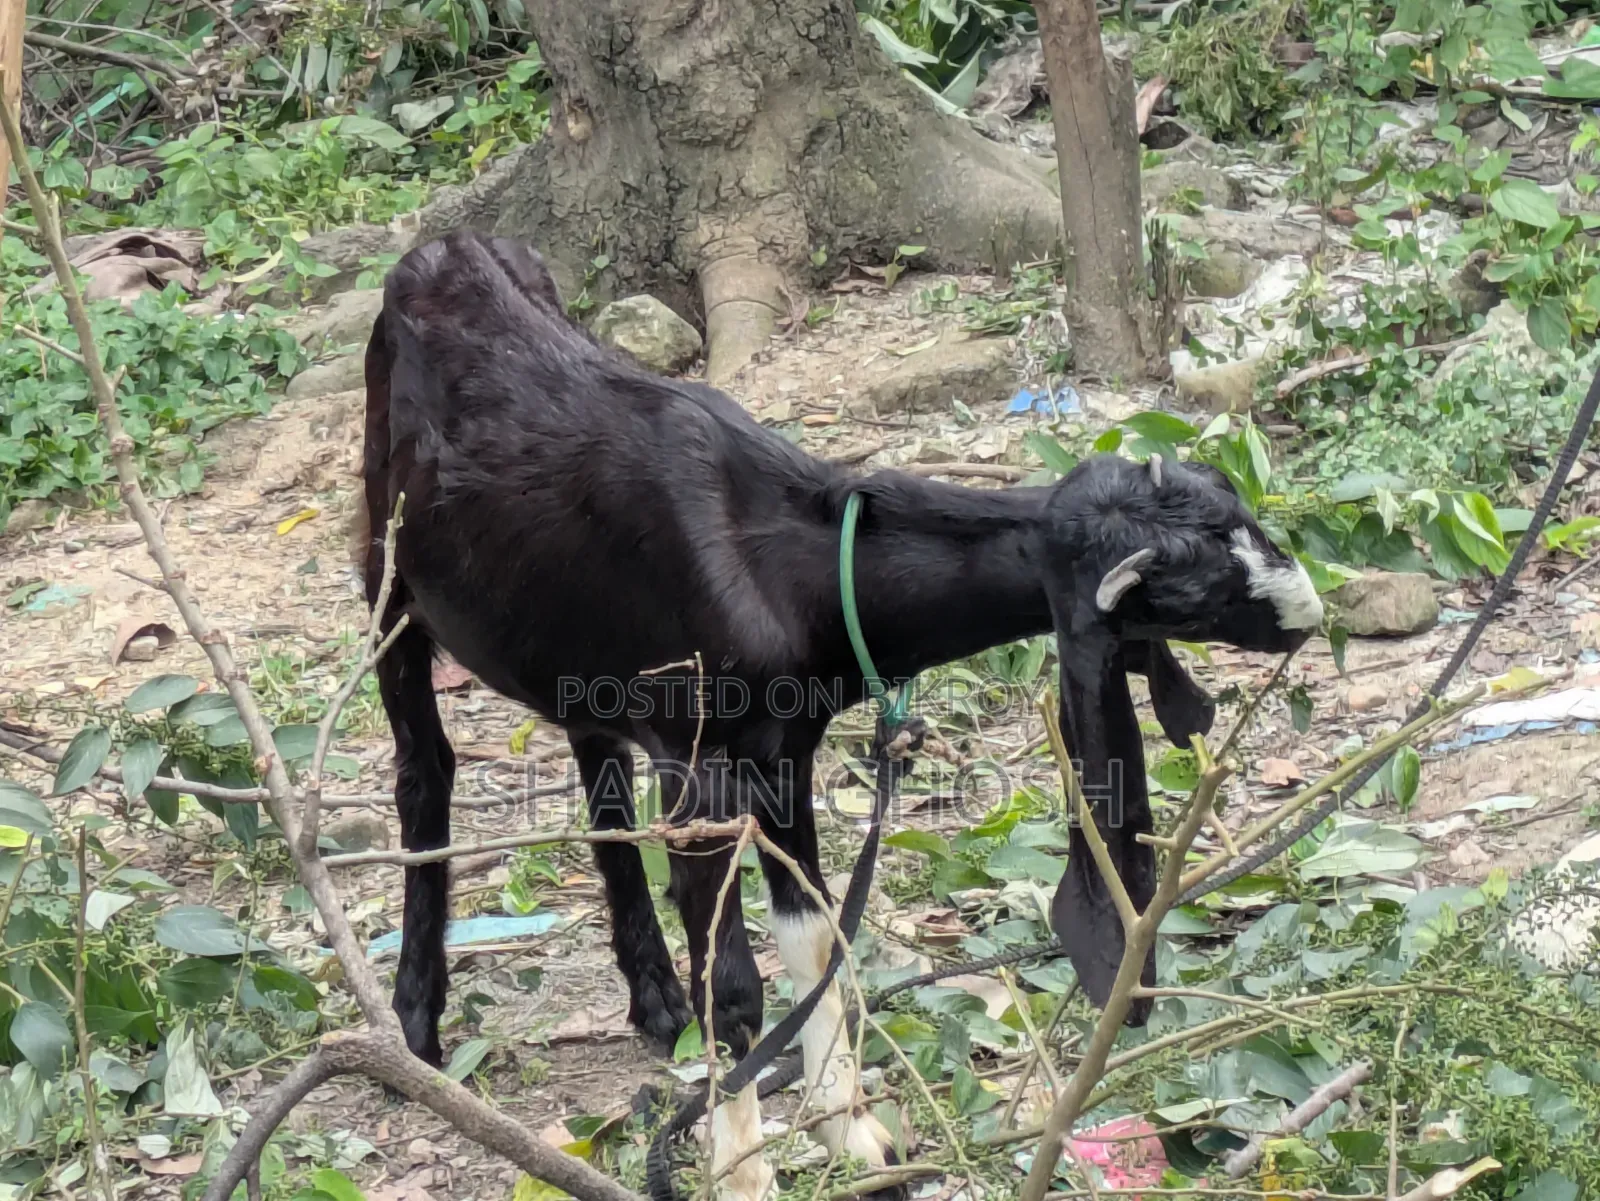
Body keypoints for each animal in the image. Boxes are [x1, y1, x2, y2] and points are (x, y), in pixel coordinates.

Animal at [358, 229, 1323, 1201]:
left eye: (1245, 517)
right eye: (1194, 594)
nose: (1311, 609)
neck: (788, 573)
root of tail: (446, 247)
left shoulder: (784, 754)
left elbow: (818, 941)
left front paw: (852, 1133)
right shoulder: (701, 774)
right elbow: (733, 985)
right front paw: (744, 1171)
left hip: (568, 644)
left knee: (599, 771)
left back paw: (652, 995)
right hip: (385, 568)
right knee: (423, 768)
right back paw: (415, 1016)